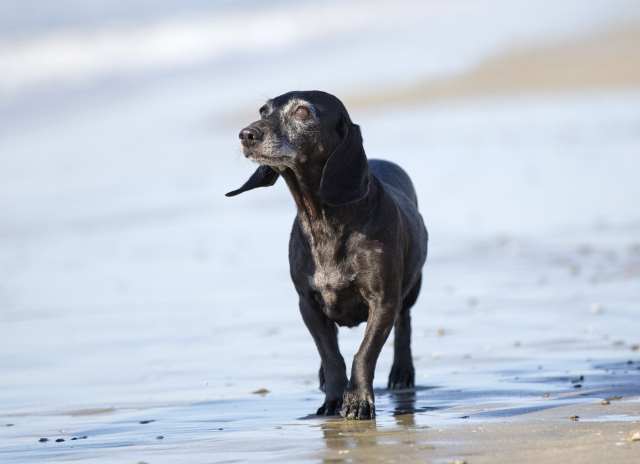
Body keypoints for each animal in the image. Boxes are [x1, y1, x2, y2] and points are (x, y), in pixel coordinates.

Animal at [228, 90, 428, 420]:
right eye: (263, 110)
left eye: (302, 112)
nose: (247, 134)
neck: (324, 221)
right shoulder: (308, 305)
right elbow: (331, 355)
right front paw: (334, 399)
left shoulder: (383, 302)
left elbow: (364, 353)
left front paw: (358, 400)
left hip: (411, 289)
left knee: (405, 323)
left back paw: (402, 372)